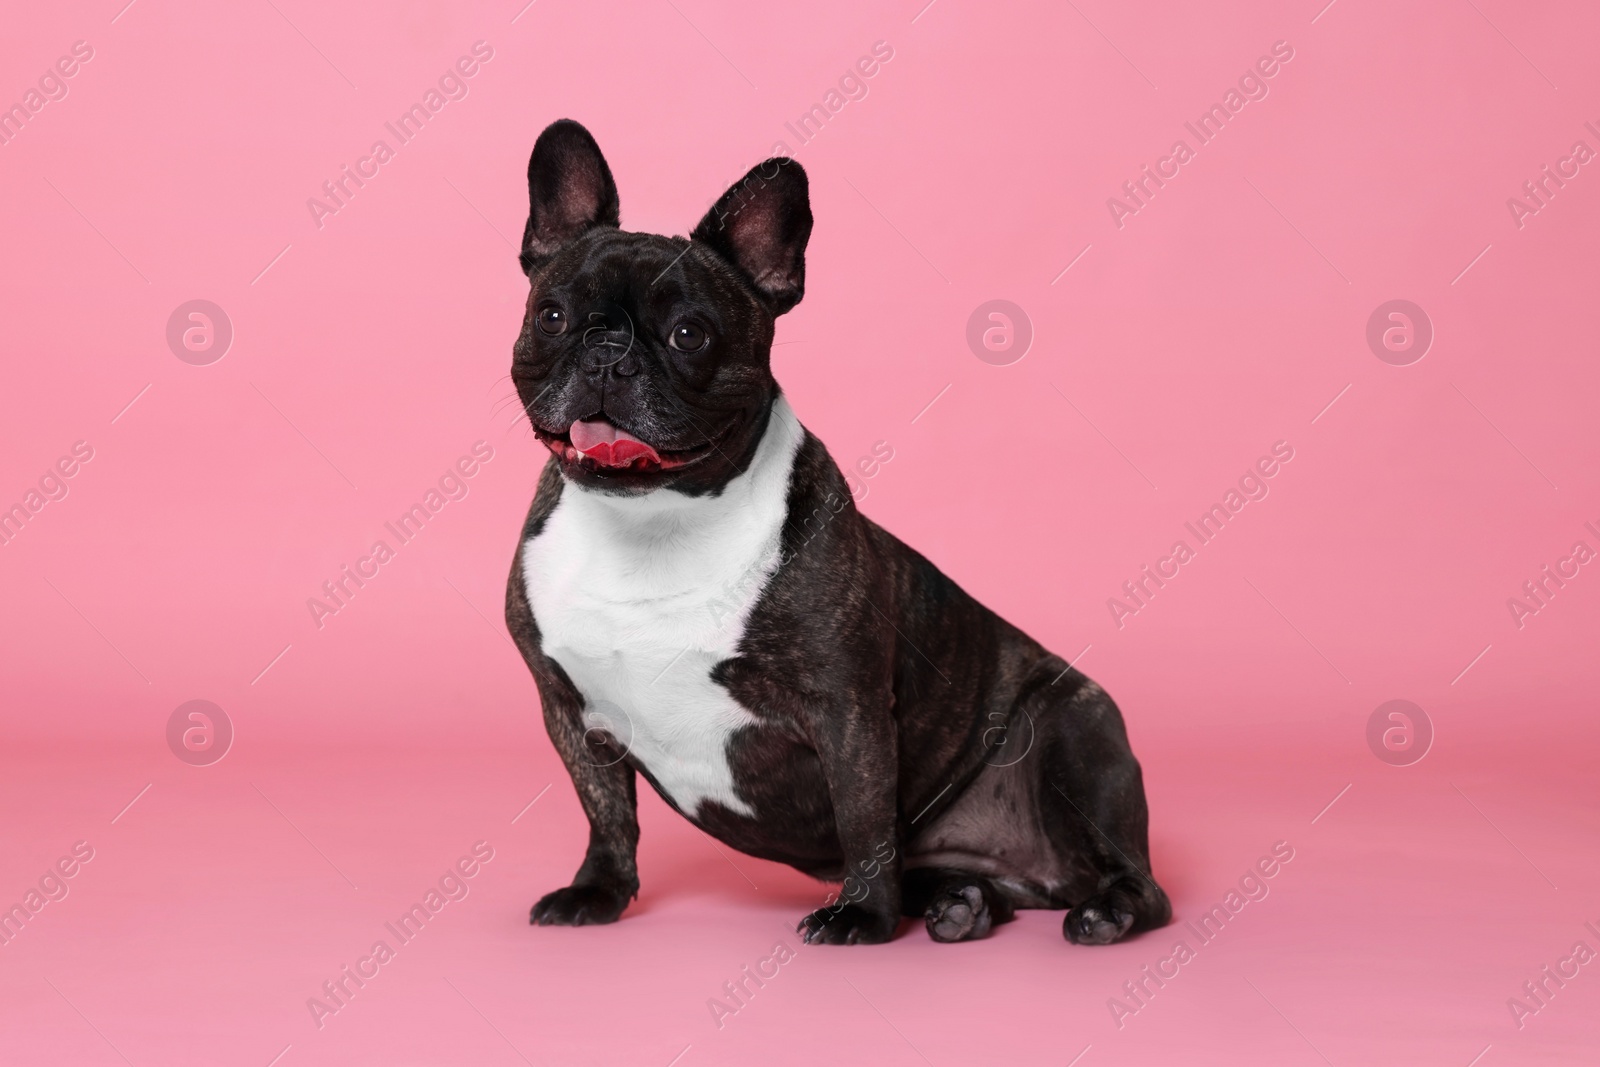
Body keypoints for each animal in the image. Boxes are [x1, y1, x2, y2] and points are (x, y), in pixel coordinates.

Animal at [505, 120, 1171, 947]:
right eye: (552, 315)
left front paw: (863, 914)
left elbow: (863, 817)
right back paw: (965, 901)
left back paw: (1102, 910)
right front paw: (597, 891)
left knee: (1140, 881)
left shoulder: (847, 707)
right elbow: (606, 813)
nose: (607, 348)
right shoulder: (570, 711)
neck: (652, 519)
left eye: (690, 333)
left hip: (1077, 733)